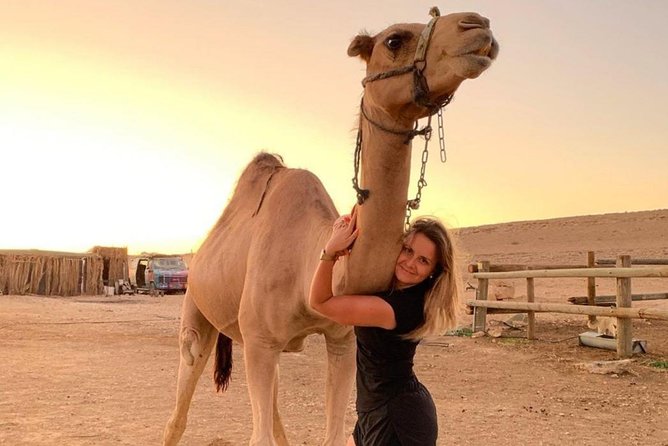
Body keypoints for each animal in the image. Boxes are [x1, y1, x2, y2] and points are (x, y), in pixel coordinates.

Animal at [163, 8, 498, 446]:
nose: (478, 26)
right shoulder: (261, 340)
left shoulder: (341, 338)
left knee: (271, 409)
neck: (307, 263)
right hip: (198, 308)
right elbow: (259, 435)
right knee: (182, 399)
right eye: (394, 40)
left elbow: (332, 432)